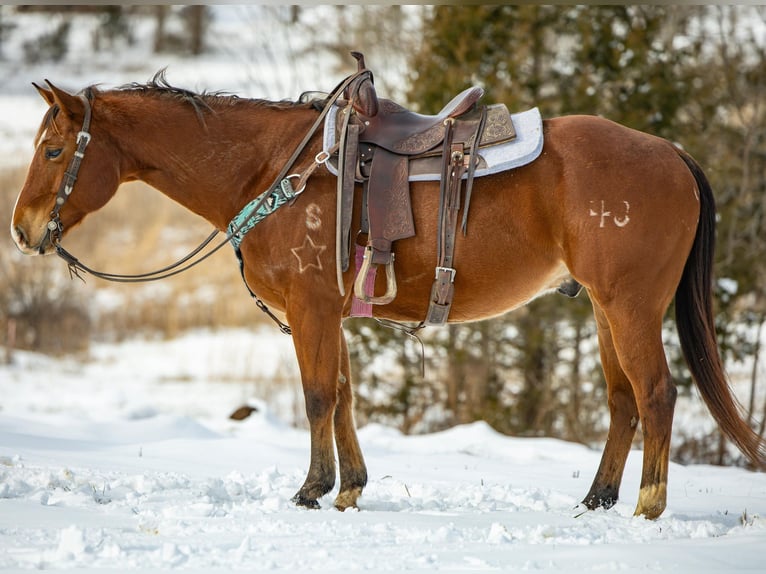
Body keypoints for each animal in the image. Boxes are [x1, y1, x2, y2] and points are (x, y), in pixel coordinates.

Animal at [9, 72, 764, 520]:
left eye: (54, 151)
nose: (21, 229)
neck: (272, 171)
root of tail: (671, 154)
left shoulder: (311, 310)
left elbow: (317, 395)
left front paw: (311, 489)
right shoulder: (330, 315)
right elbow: (343, 397)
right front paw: (349, 487)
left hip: (630, 306)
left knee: (656, 393)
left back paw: (648, 504)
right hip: (606, 308)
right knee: (622, 400)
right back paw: (598, 498)